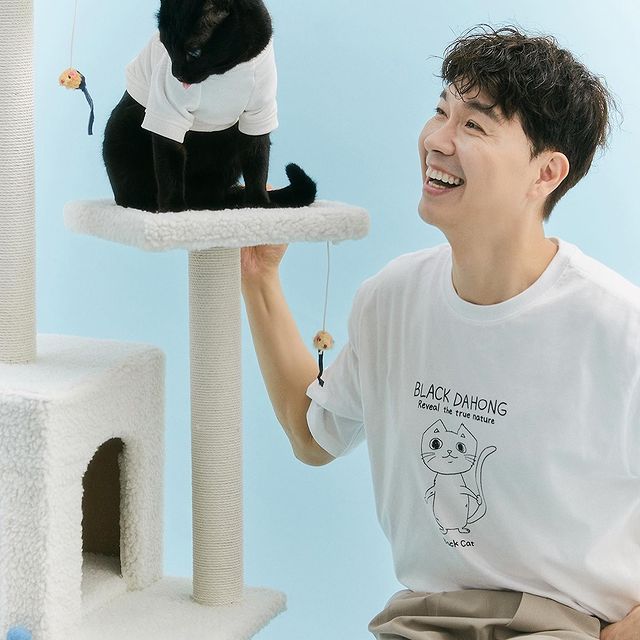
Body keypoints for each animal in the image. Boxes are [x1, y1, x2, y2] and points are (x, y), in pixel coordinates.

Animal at [102, 0, 316, 213]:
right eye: (166, 46)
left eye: (193, 53)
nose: (176, 73)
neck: (227, 73)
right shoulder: (168, 114)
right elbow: (169, 166)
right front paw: (173, 209)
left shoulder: (258, 113)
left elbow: (258, 162)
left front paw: (259, 204)